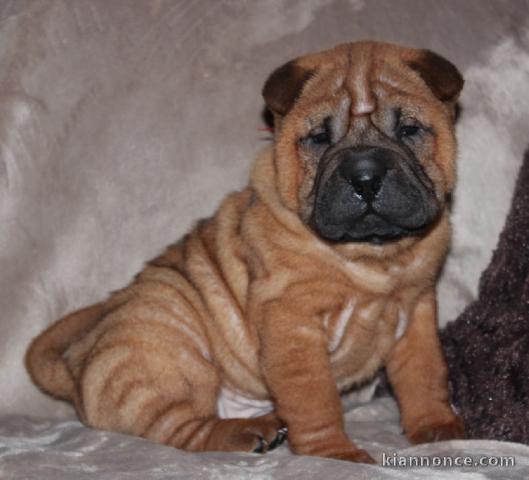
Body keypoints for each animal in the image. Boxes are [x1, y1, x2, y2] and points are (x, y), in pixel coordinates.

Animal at [25, 40, 462, 462]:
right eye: (319, 138)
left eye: (408, 129)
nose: (365, 176)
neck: (375, 256)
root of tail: (78, 366)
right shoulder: (292, 321)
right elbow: (315, 398)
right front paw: (335, 454)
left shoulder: (416, 311)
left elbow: (424, 374)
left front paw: (437, 428)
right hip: (167, 348)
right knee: (182, 429)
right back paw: (248, 433)